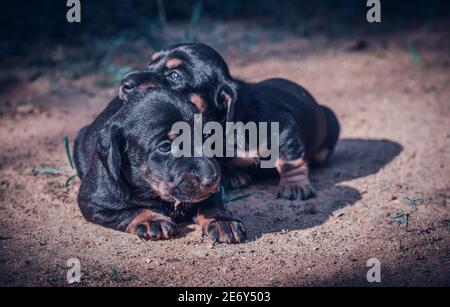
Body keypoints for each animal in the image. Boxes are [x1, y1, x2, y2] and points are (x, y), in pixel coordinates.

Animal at [75, 88, 248, 244]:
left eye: (205, 136)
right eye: (165, 147)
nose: (212, 179)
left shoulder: (213, 193)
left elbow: (212, 203)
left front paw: (222, 221)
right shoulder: (92, 202)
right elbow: (127, 211)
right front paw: (152, 220)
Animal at [119, 44, 342, 202]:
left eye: (174, 75)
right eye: (150, 62)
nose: (124, 83)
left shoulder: (285, 128)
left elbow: (289, 160)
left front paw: (295, 186)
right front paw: (233, 175)